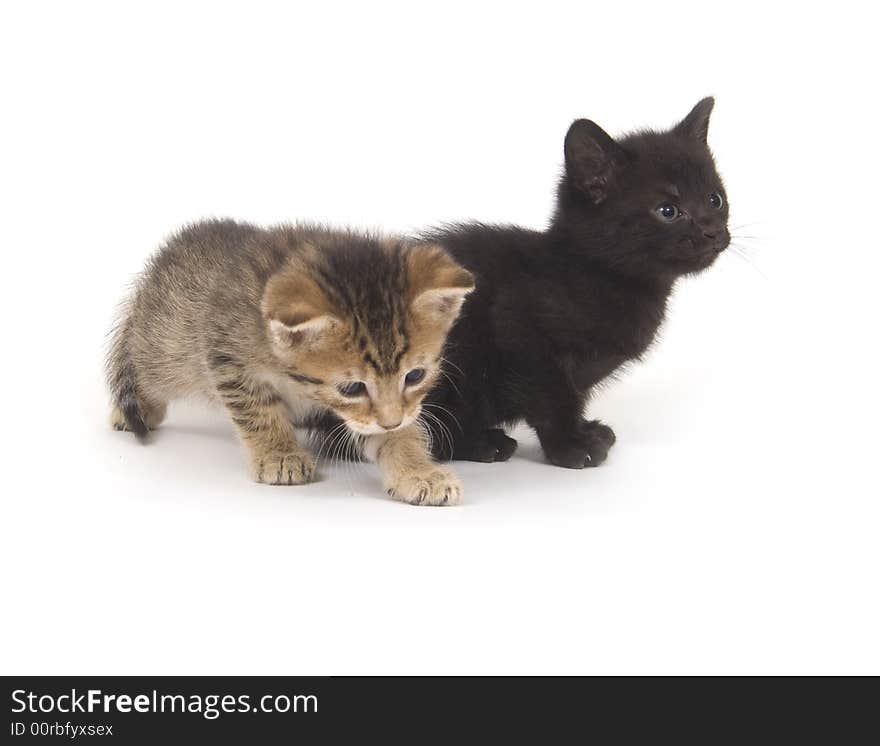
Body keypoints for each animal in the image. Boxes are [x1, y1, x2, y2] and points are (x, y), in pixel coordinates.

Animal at [109, 218, 474, 502]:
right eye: (352, 388)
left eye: (414, 376)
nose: (391, 421)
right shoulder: (228, 359)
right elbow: (258, 412)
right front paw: (279, 455)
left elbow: (399, 435)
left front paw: (418, 472)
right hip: (170, 346)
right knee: (142, 358)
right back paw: (134, 406)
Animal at [422, 97, 732, 464]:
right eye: (668, 210)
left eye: (715, 199)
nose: (714, 232)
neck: (597, 274)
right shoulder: (520, 331)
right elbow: (552, 396)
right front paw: (571, 446)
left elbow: (573, 395)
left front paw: (585, 431)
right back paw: (482, 443)